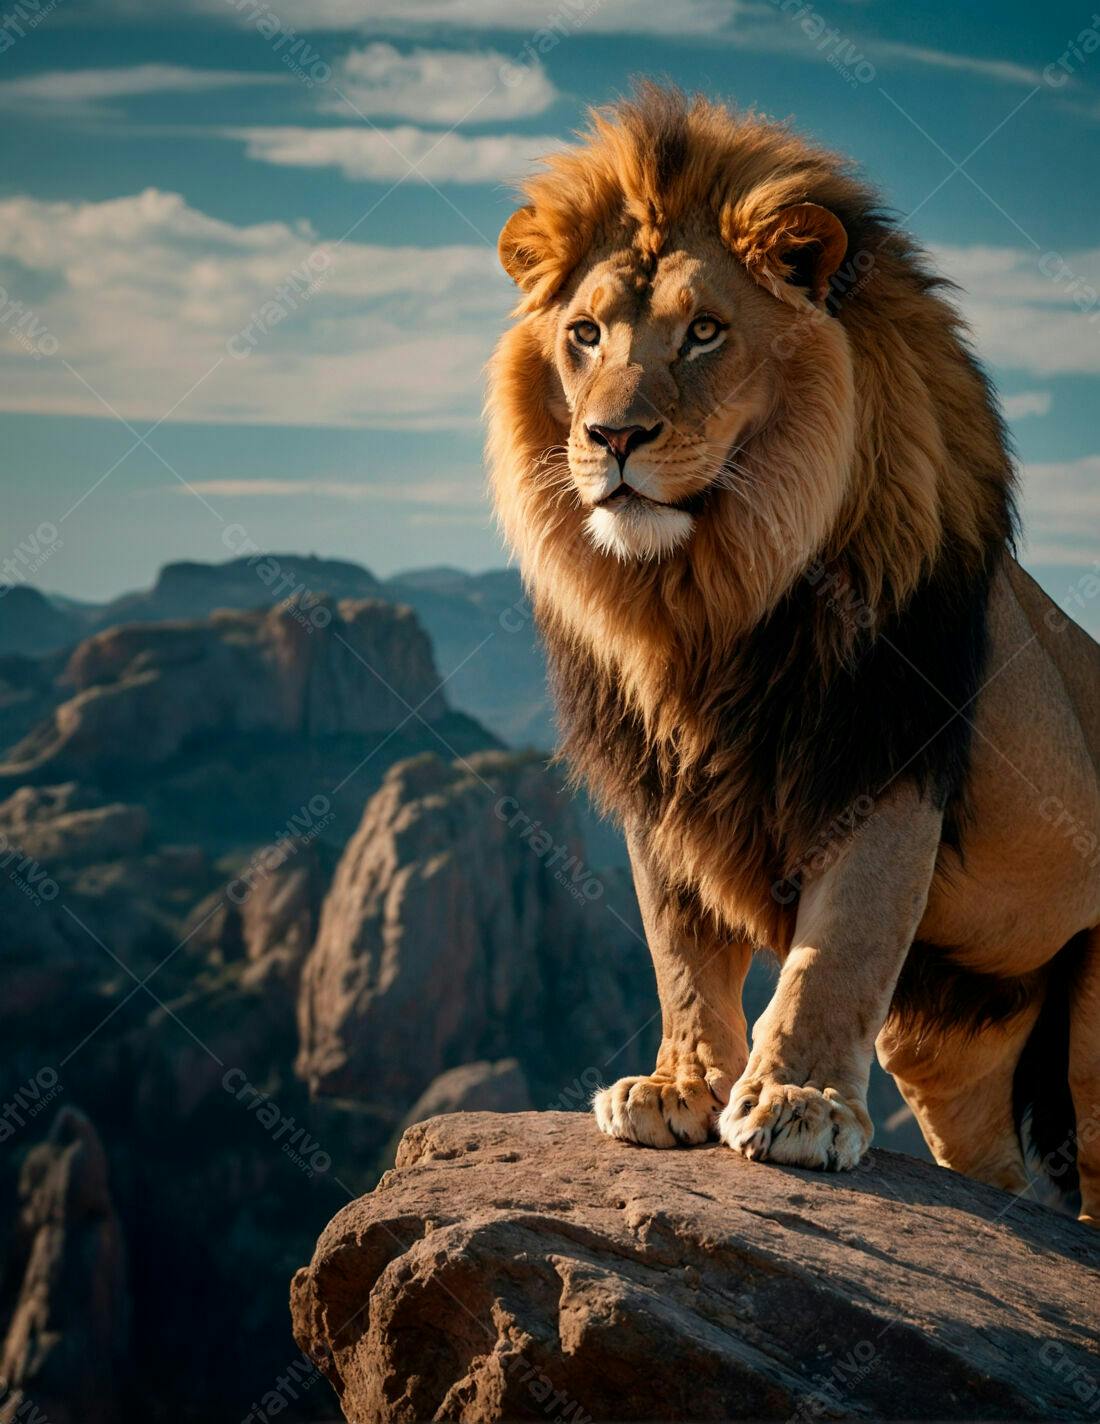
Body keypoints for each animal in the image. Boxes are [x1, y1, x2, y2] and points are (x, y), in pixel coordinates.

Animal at [486, 85, 1100, 1223]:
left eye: (705, 333)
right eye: (584, 334)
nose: (610, 438)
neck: (703, 599)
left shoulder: (883, 752)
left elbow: (839, 946)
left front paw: (799, 1101)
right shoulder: (665, 783)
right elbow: (681, 952)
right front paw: (677, 1086)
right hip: (958, 1038)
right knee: (992, 1164)